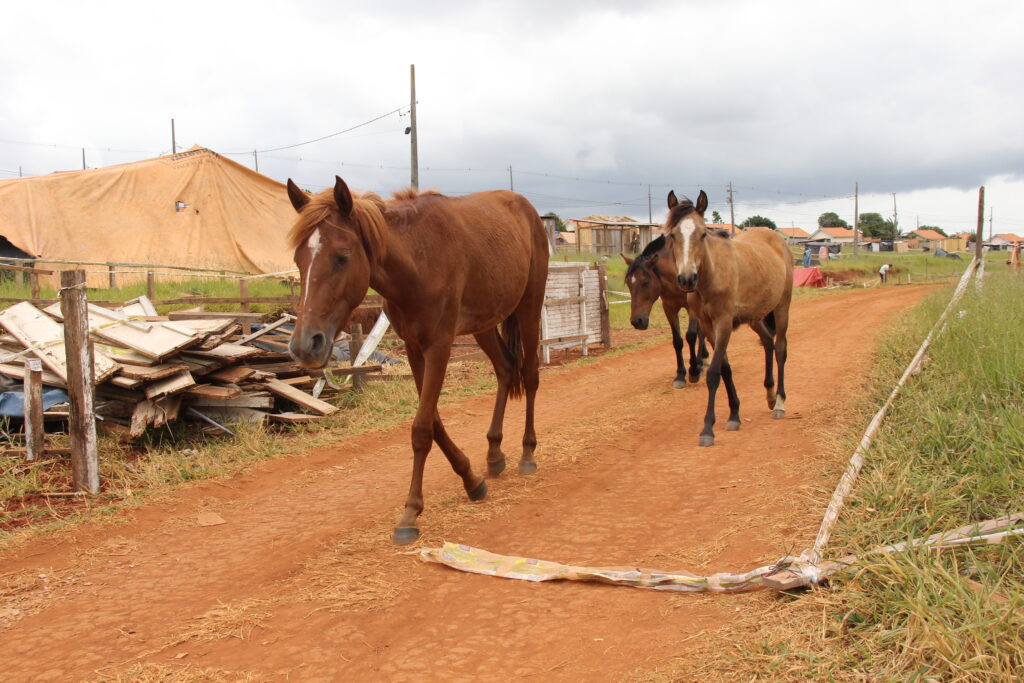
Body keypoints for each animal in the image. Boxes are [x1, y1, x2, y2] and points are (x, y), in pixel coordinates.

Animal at [284, 178, 548, 544]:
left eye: (342, 257)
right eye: (299, 259)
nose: (305, 345)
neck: (418, 261)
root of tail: (526, 208)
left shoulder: (438, 347)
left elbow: (422, 428)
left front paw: (410, 512)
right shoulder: (413, 348)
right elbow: (433, 420)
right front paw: (471, 480)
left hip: (528, 308)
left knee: (530, 375)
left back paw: (527, 452)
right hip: (484, 325)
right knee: (506, 369)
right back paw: (494, 455)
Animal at [618, 235, 708, 387]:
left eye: (645, 282)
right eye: (629, 284)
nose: (637, 321)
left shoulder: (692, 308)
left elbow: (691, 336)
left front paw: (694, 371)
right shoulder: (669, 308)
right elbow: (677, 341)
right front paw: (680, 375)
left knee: (701, 332)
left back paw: (700, 362)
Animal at [659, 192, 794, 448]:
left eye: (703, 233)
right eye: (672, 235)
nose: (687, 279)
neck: (710, 276)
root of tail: (778, 240)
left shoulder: (723, 323)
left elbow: (713, 373)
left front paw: (707, 429)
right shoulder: (708, 325)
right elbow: (725, 368)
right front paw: (734, 414)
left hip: (782, 307)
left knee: (780, 348)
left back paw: (780, 403)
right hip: (755, 317)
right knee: (768, 342)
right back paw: (770, 395)